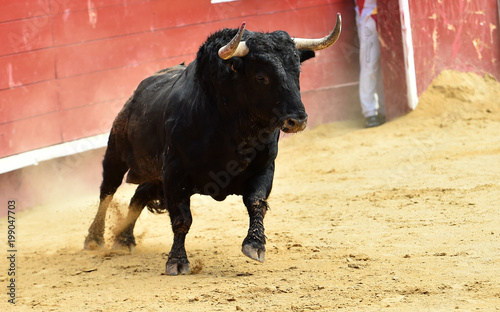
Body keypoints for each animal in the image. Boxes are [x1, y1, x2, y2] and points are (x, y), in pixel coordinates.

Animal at [86, 14, 342, 274]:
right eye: (261, 77)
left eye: (297, 72)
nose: (297, 120)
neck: (232, 127)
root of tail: (137, 93)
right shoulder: (175, 172)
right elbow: (182, 218)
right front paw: (177, 262)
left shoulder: (264, 167)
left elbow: (257, 203)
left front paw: (255, 245)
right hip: (116, 153)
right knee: (107, 191)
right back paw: (94, 239)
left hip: (154, 176)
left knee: (138, 195)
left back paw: (124, 239)